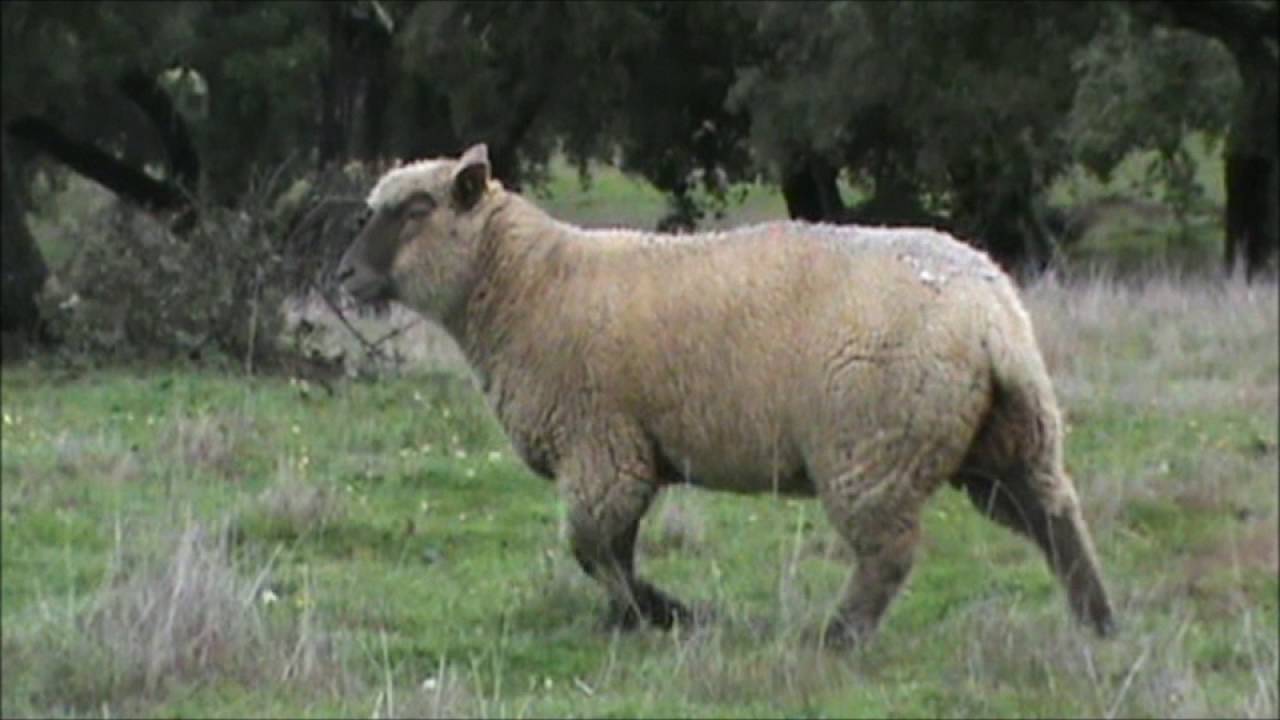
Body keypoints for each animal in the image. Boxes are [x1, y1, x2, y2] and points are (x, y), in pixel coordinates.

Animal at [336, 143, 1117, 646]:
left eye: (417, 208)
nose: (343, 275)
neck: (525, 284)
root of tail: (993, 317)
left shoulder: (601, 446)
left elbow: (595, 548)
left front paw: (662, 614)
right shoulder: (628, 451)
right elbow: (615, 548)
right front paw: (640, 619)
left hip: (869, 446)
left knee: (889, 555)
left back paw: (836, 637)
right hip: (1009, 433)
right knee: (1054, 518)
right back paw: (1098, 624)